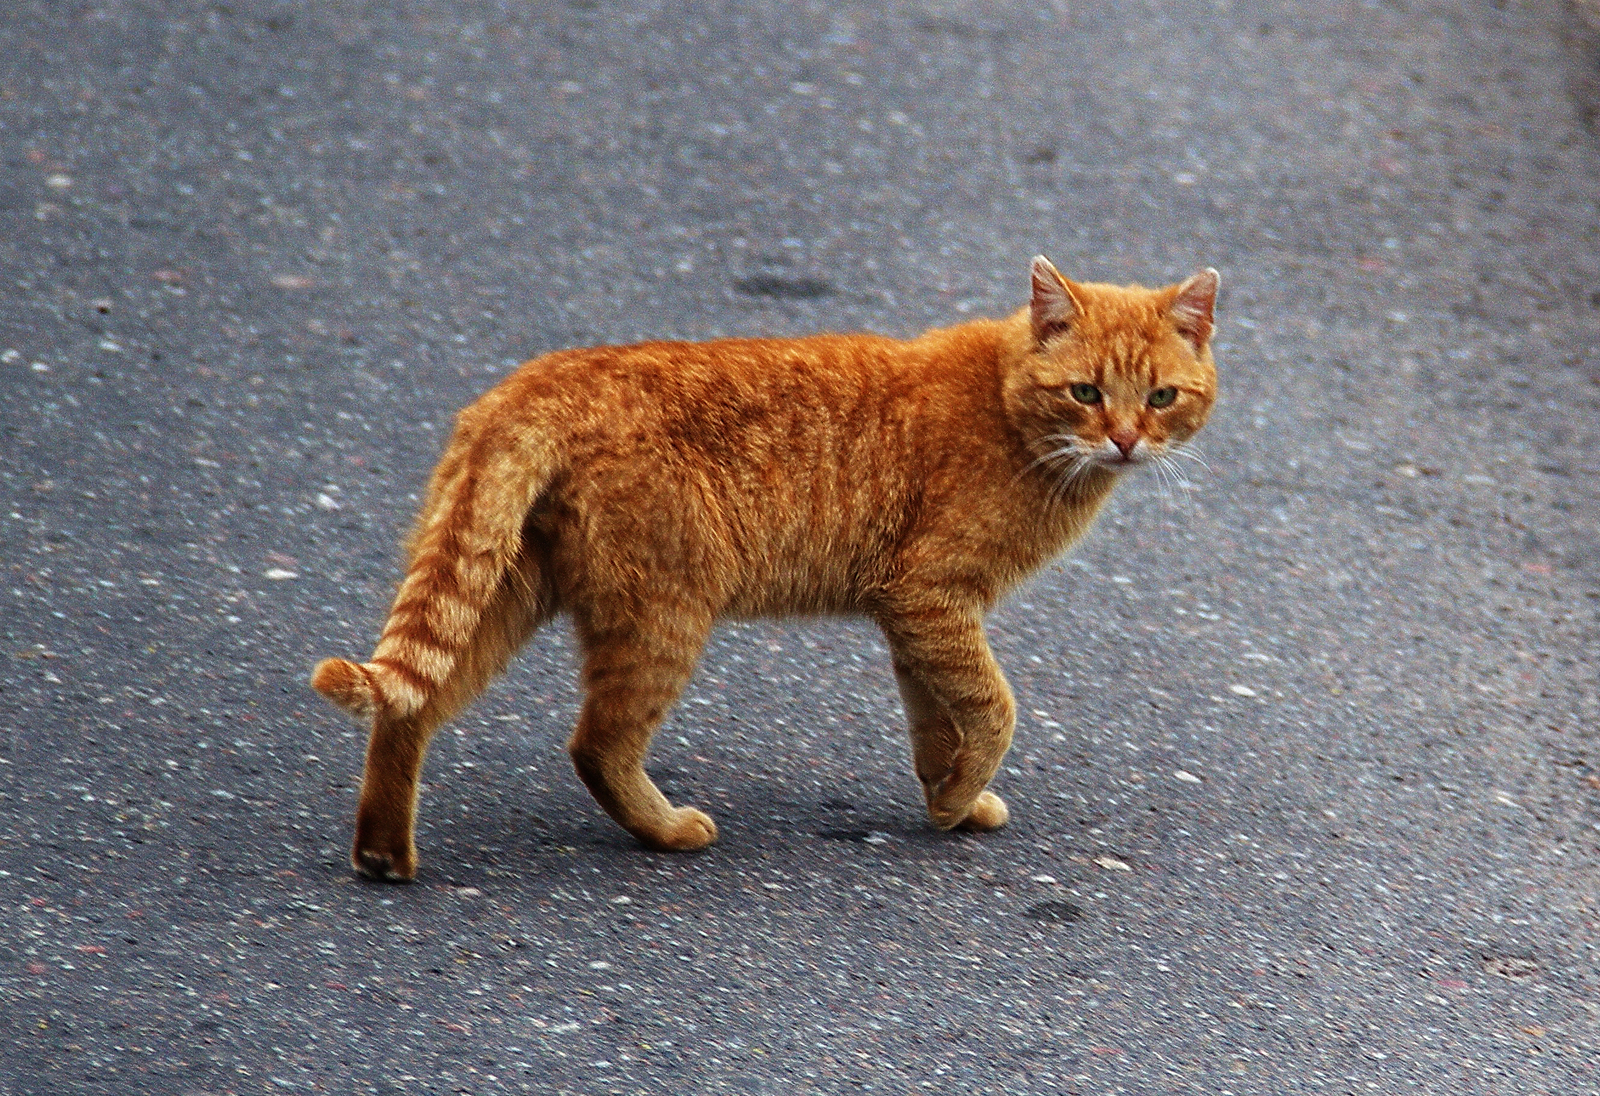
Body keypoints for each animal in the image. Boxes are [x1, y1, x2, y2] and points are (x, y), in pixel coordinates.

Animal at [308, 256, 1209, 883]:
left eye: (1161, 397)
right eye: (1086, 392)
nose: (1125, 438)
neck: (1009, 411)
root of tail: (535, 381)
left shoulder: (915, 618)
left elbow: (934, 719)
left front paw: (945, 801)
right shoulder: (932, 596)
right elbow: (995, 708)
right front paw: (958, 797)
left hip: (507, 590)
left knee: (412, 707)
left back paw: (383, 853)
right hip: (665, 615)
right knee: (596, 743)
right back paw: (669, 830)